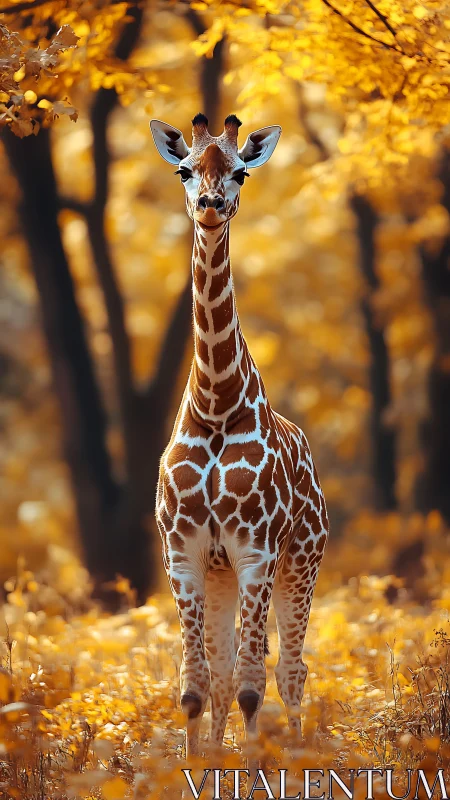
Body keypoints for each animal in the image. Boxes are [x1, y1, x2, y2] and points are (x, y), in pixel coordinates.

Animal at [150, 113, 329, 759]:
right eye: (184, 168)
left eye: (241, 172)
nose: (210, 204)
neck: (216, 402)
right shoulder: (184, 552)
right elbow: (197, 684)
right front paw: (197, 768)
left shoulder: (257, 551)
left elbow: (255, 683)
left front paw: (252, 770)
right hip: (222, 571)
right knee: (229, 674)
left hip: (302, 559)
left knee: (291, 670)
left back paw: (297, 756)